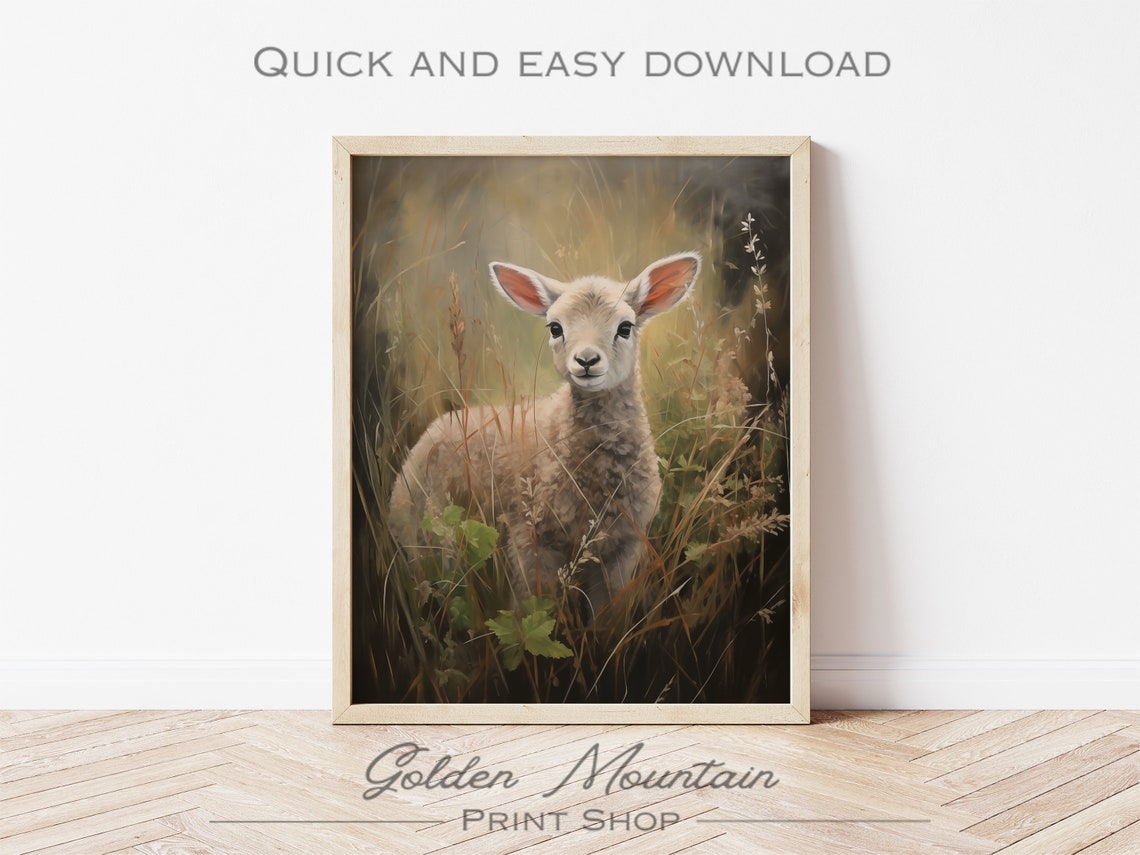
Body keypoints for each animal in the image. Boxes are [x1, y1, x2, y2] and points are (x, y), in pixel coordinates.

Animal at [388, 252, 701, 617]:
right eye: (556, 328)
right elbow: (531, 609)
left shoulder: (624, 548)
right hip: (428, 534)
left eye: (625, 328)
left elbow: (606, 616)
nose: (586, 360)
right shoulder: (529, 539)